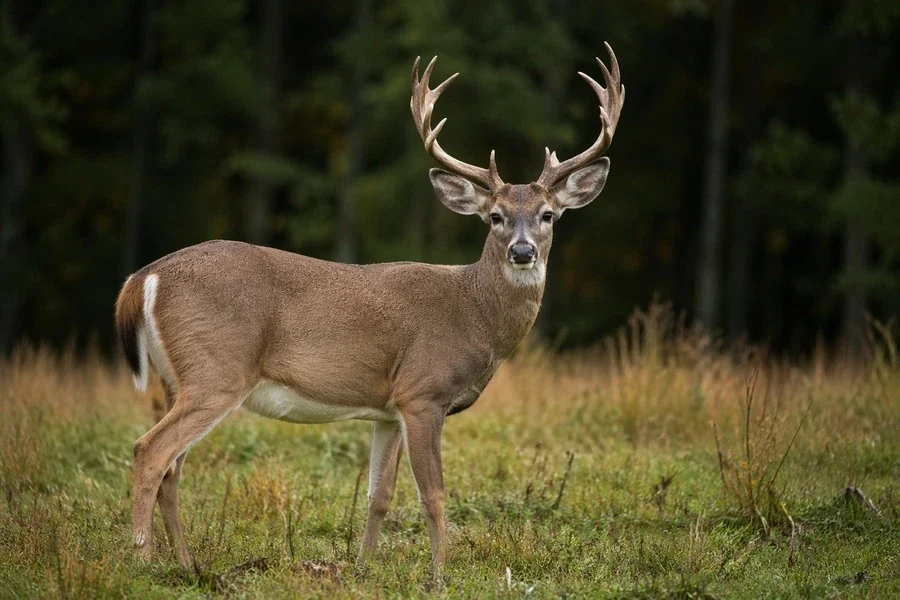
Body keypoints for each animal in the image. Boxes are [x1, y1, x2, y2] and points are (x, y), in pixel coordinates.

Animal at [114, 43, 623, 578]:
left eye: (548, 215)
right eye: (495, 217)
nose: (522, 251)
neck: (476, 315)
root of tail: (143, 278)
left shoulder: (388, 408)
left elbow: (379, 494)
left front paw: (364, 567)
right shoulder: (422, 392)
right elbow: (434, 496)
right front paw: (438, 576)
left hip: (178, 379)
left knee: (173, 469)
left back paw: (186, 565)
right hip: (217, 370)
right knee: (151, 451)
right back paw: (143, 560)